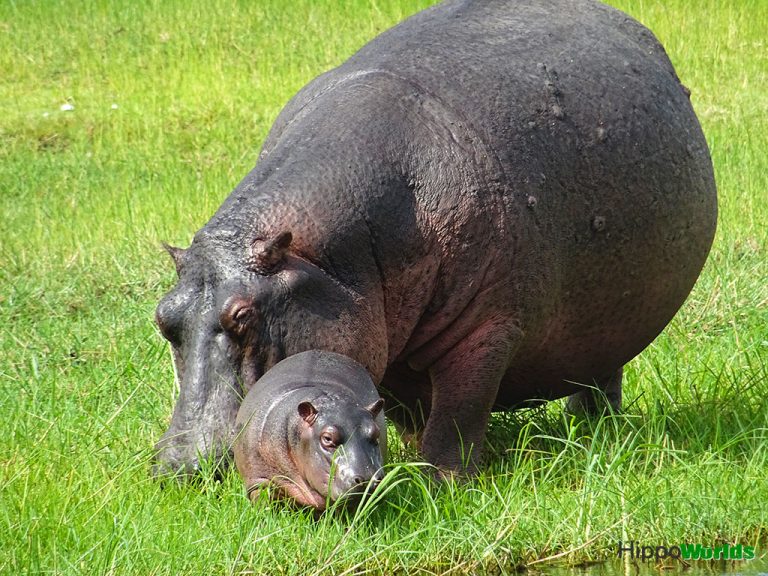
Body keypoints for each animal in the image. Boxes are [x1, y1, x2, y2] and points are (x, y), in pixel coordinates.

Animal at [153, 0, 717, 476]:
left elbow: (458, 414)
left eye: (244, 317)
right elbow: (395, 405)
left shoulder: (488, 330)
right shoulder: (384, 338)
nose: (179, 467)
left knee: (599, 381)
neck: (323, 263)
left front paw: (440, 484)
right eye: (162, 318)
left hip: (609, 325)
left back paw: (597, 435)